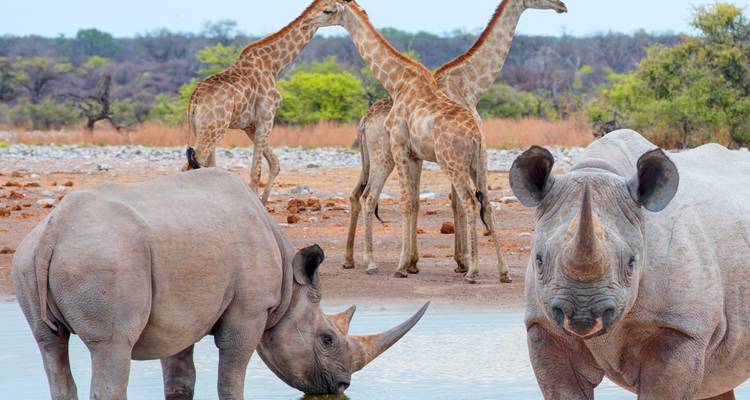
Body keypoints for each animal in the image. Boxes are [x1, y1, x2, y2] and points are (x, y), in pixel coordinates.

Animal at [12, 168, 428, 399]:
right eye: (326, 339)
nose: (341, 386)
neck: (289, 288)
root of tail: (54, 231)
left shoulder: (177, 315)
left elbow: (180, 381)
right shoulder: (249, 311)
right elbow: (230, 380)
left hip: (29, 260)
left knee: (49, 343)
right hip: (103, 259)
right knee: (111, 347)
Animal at [183, 0, 346, 204]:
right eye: (328, 10)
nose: (308, 22)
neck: (274, 64)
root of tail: (193, 100)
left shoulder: (249, 125)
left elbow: (274, 163)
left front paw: (262, 203)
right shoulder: (266, 119)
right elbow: (256, 172)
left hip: (203, 129)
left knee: (203, 165)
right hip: (213, 129)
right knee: (190, 166)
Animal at [343, 0, 567, 282]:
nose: (562, 6)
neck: (470, 84)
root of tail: (364, 121)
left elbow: (452, 201)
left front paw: (454, 261)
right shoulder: (454, 154)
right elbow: (457, 202)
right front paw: (463, 262)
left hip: (380, 158)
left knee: (358, 193)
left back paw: (351, 260)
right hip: (387, 156)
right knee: (370, 196)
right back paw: (375, 261)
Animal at [509, 130, 749, 399]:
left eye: (632, 262)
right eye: (538, 260)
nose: (583, 316)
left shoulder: (682, 327)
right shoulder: (543, 325)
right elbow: (564, 389)